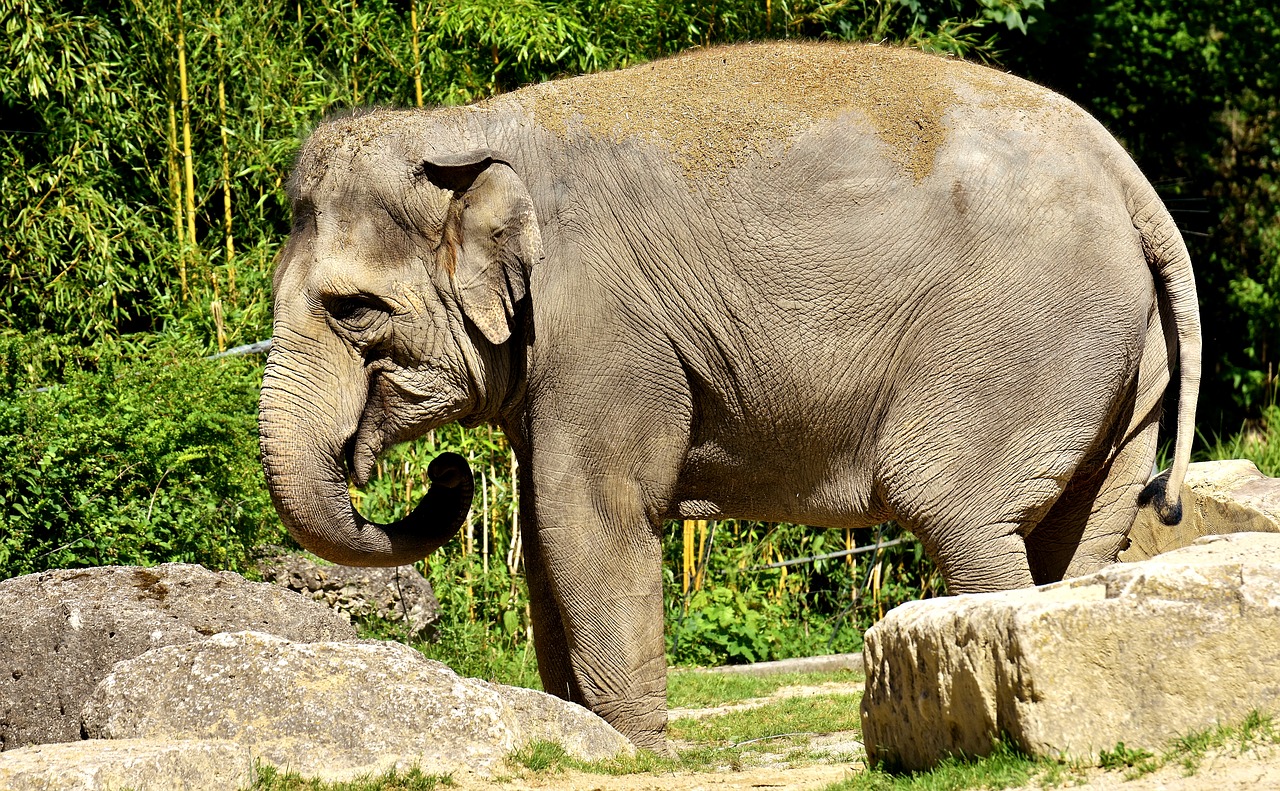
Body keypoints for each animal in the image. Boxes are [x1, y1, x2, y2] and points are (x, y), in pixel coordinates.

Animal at [259, 41, 1198, 747]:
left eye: (352, 309)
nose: (446, 471)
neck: (466, 120)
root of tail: (1129, 176)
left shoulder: (607, 322)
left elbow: (589, 508)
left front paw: (638, 749)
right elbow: (541, 518)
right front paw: (583, 733)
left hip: (1024, 334)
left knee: (959, 510)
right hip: (1123, 361)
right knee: (1079, 530)